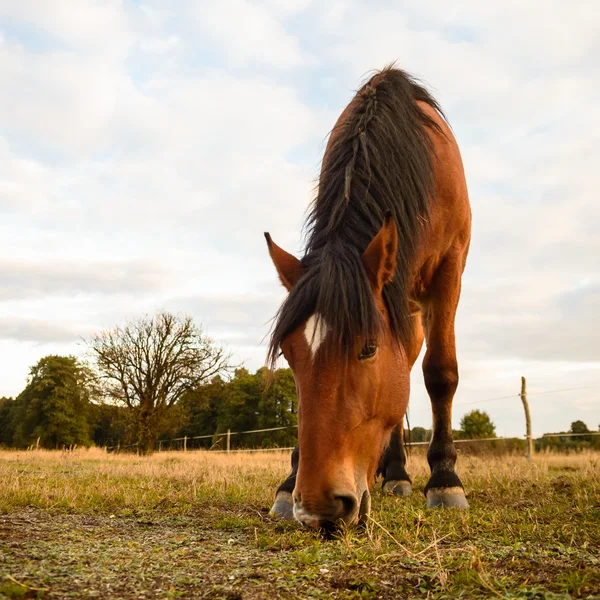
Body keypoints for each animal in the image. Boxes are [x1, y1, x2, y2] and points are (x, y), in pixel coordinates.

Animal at [264, 64, 472, 528]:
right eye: (288, 352)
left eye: (368, 348)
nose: (318, 508)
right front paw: (288, 484)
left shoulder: (449, 271)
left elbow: (440, 373)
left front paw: (445, 480)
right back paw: (395, 473)